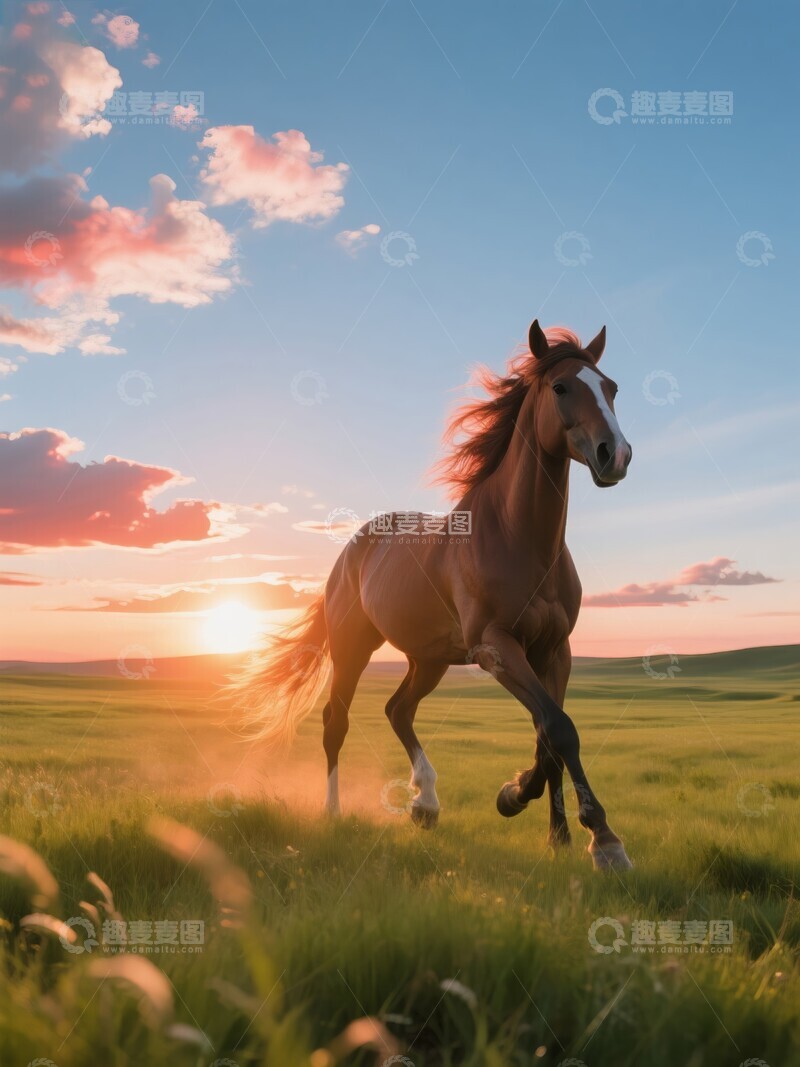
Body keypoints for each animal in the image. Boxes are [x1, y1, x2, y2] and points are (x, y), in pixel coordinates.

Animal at [235, 319, 634, 870]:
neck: (518, 538)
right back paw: (334, 812)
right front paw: (600, 838)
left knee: (398, 710)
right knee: (336, 722)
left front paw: (549, 826)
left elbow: (549, 736)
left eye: (611, 388)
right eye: (560, 387)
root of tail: (353, 549)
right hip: (353, 648)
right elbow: (559, 729)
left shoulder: (555, 651)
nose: (614, 455)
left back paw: (425, 803)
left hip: (429, 660)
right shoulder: (496, 648)